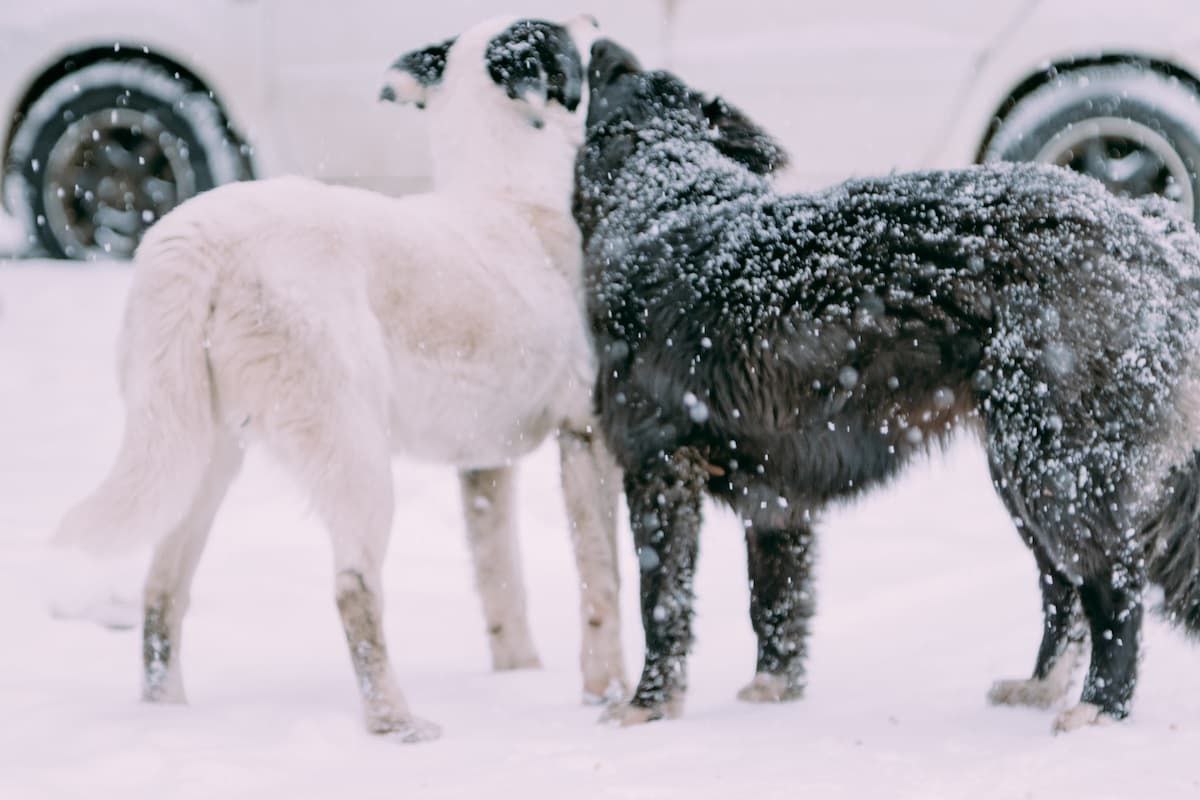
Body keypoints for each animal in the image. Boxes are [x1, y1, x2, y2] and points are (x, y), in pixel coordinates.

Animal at [51, 17, 624, 743]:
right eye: (569, 33)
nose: (603, 26)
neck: (512, 198)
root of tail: (199, 237)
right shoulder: (586, 437)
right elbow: (602, 582)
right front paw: (607, 691)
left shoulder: (484, 467)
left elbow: (503, 585)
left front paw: (518, 676)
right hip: (354, 452)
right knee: (354, 589)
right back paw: (395, 722)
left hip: (198, 453)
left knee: (162, 586)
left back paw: (167, 712)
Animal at [571, 40, 1200, 734]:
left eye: (614, 73)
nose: (599, 42)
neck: (667, 195)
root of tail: (1150, 231)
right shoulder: (775, 496)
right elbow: (776, 600)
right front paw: (773, 689)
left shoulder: (657, 470)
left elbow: (660, 602)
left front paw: (648, 703)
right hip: (1021, 474)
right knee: (1064, 590)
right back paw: (1042, 687)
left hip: (1055, 471)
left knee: (1115, 587)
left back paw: (1099, 708)